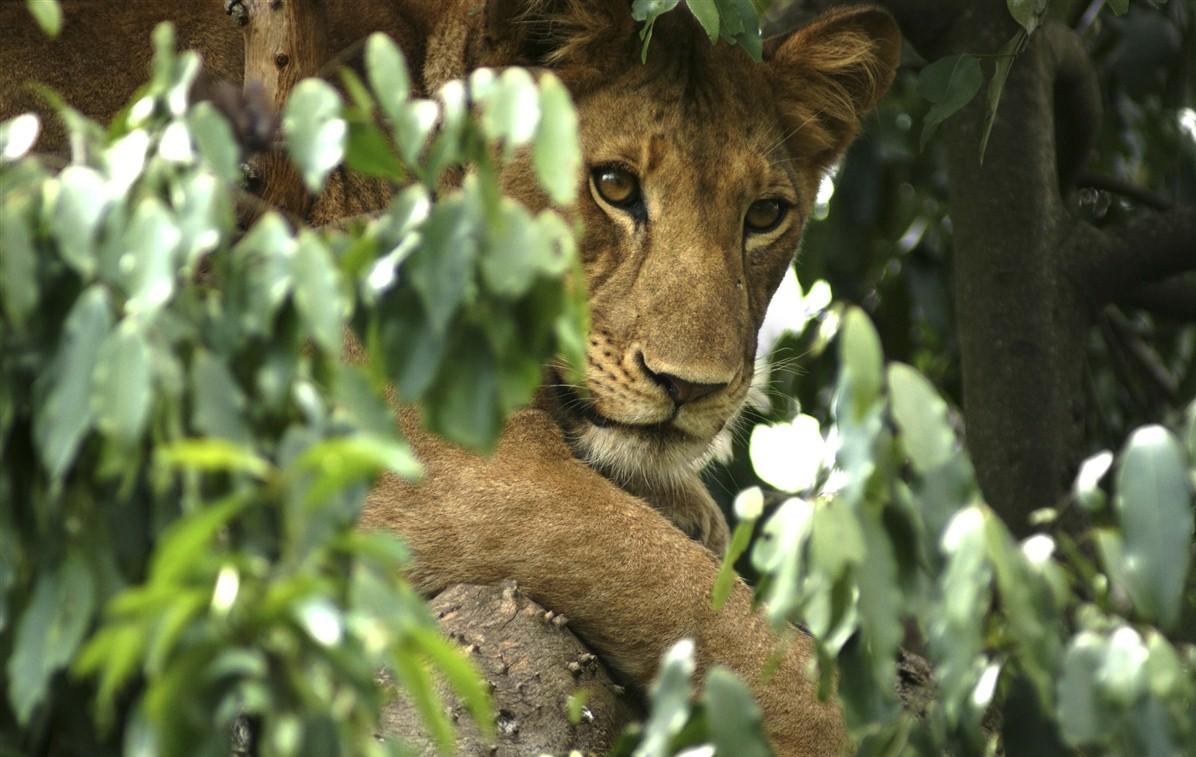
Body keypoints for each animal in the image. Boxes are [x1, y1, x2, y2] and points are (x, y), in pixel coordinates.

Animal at [2, 2, 899, 751]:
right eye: (613, 185)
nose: (693, 386)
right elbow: (704, 607)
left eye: (765, 214)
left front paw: (694, 511)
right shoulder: (425, 466)